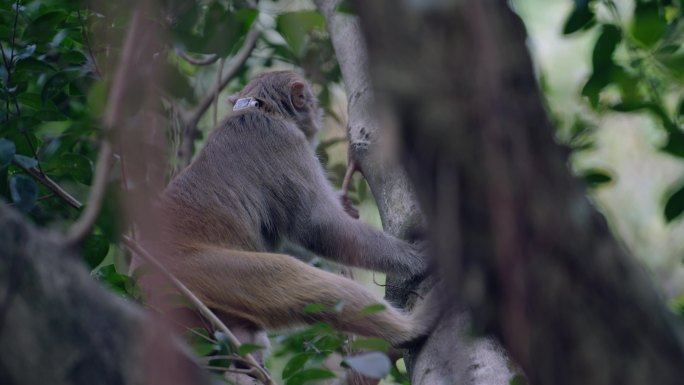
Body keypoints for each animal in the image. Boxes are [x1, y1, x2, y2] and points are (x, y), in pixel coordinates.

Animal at [156, 70, 438, 360]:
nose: (316, 111)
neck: (260, 109)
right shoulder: (286, 141)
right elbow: (317, 226)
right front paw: (417, 258)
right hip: (203, 270)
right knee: (283, 272)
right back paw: (411, 329)